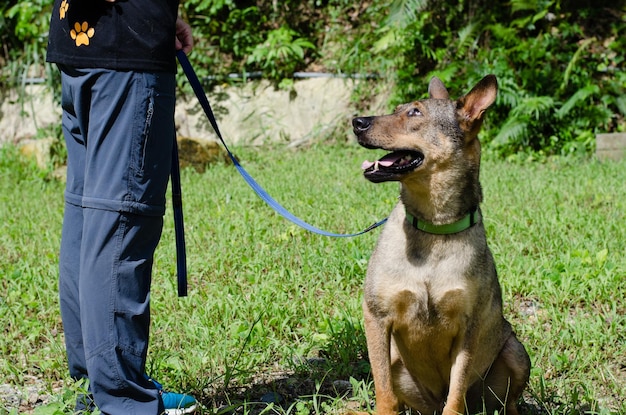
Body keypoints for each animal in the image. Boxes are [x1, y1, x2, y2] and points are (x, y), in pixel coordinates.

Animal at [348, 75, 528, 415]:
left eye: (415, 113)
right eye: (398, 108)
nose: (357, 122)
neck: (434, 228)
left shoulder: (469, 328)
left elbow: (456, 395)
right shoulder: (376, 317)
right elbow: (384, 390)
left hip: (516, 352)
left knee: (507, 402)